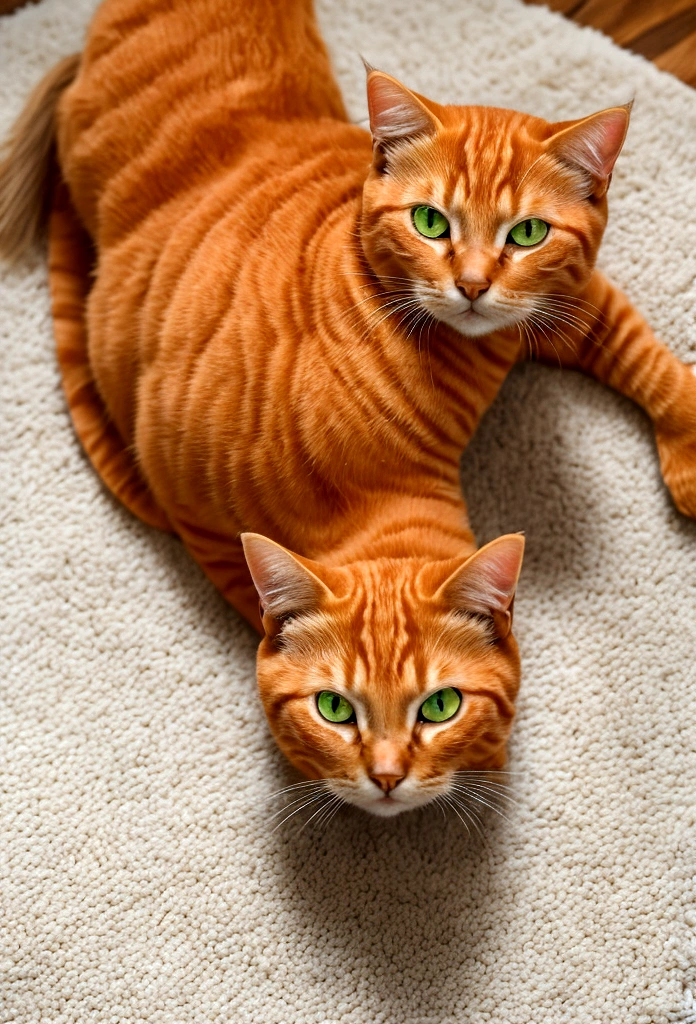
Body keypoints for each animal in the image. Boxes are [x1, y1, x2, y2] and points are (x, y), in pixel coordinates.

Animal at [1, 0, 696, 815]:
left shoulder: (567, 301)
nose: (472, 284)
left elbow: (646, 355)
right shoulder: (199, 524)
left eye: (526, 233)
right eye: (431, 222)